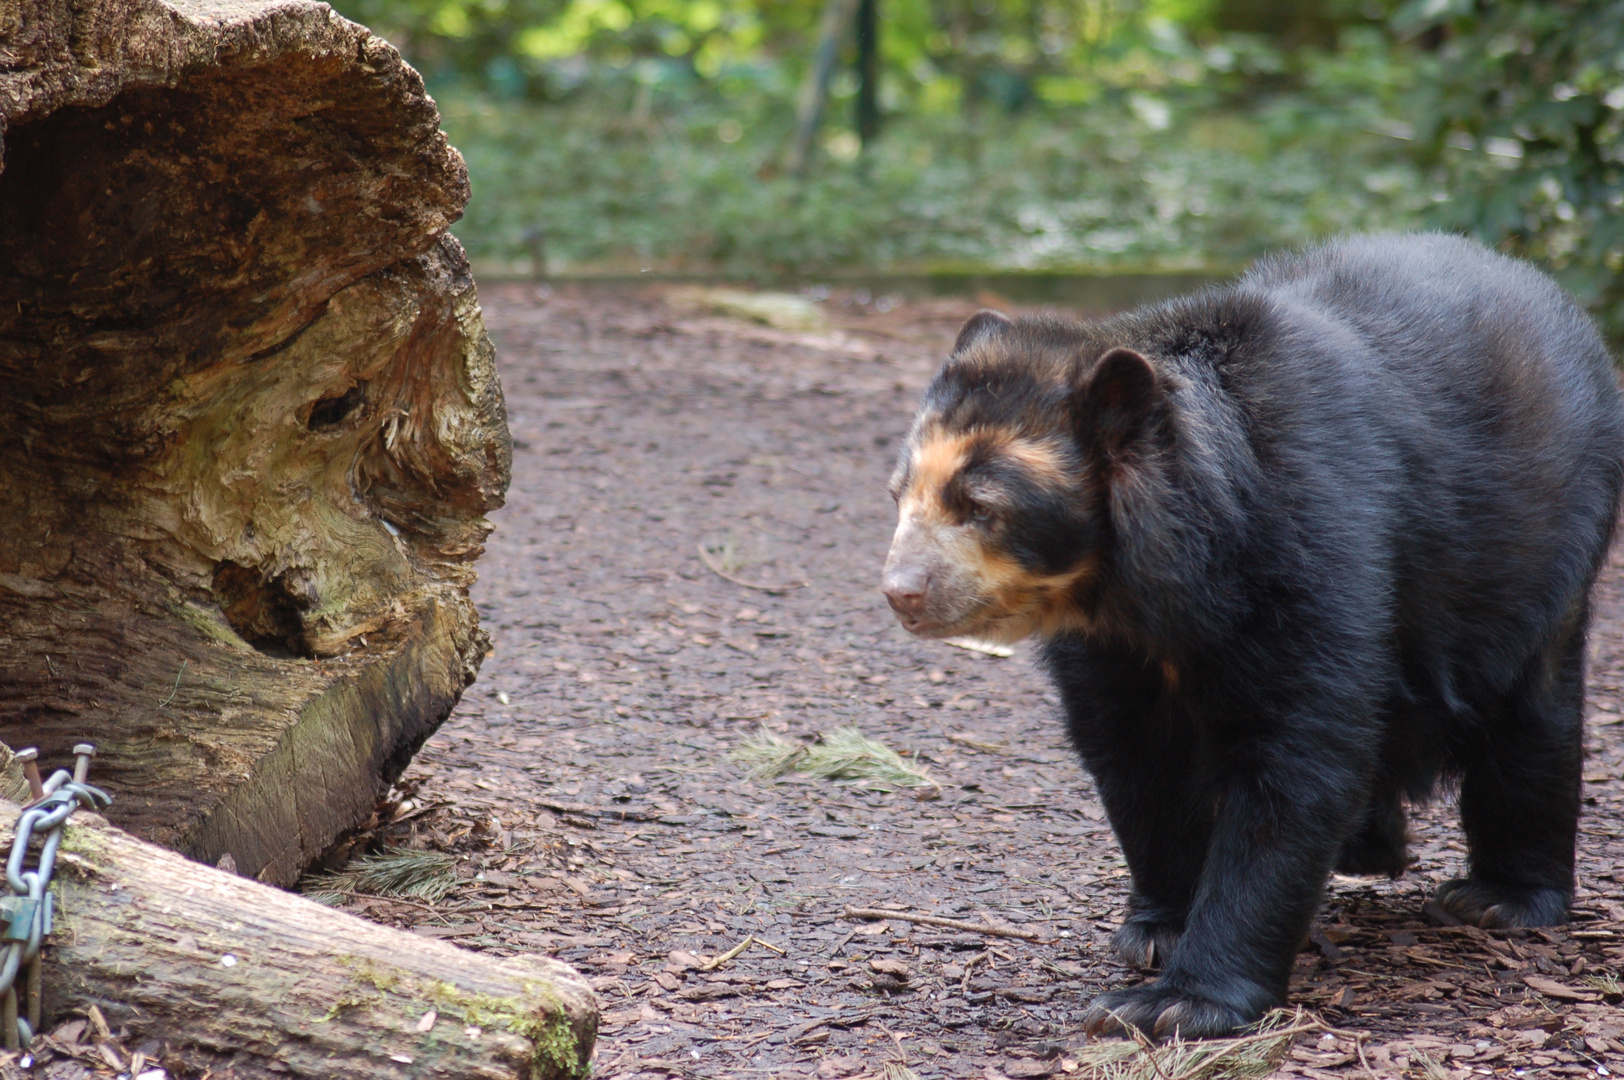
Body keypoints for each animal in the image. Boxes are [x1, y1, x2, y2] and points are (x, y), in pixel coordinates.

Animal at [883, 233, 1624, 1039]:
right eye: (900, 496)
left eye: (982, 507)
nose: (901, 593)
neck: (1159, 577)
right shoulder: (1114, 644)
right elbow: (1134, 755)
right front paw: (1156, 930)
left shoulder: (1309, 544)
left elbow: (1296, 756)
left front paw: (1175, 1001)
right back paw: (1373, 843)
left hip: (1538, 552)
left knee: (1531, 717)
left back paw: (1498, 897)